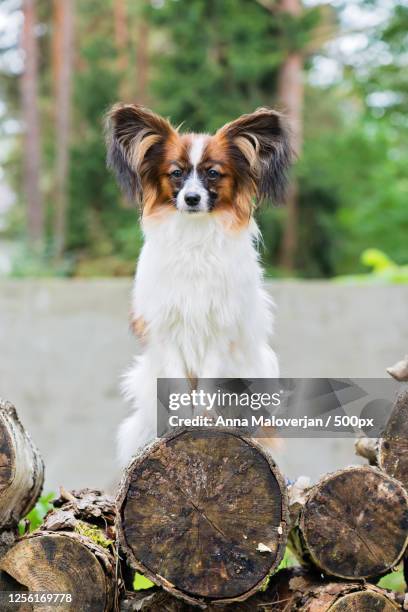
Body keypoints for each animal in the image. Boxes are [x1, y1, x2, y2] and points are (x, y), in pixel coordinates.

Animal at [107, 106, 292, 468]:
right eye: (176, 173)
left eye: (213, 174)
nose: (191, 198)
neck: (194, 238)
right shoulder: (167, 329)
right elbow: (180, 387)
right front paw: (180, 425)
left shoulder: (219, 330)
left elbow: (207, 384)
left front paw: (204, 421)